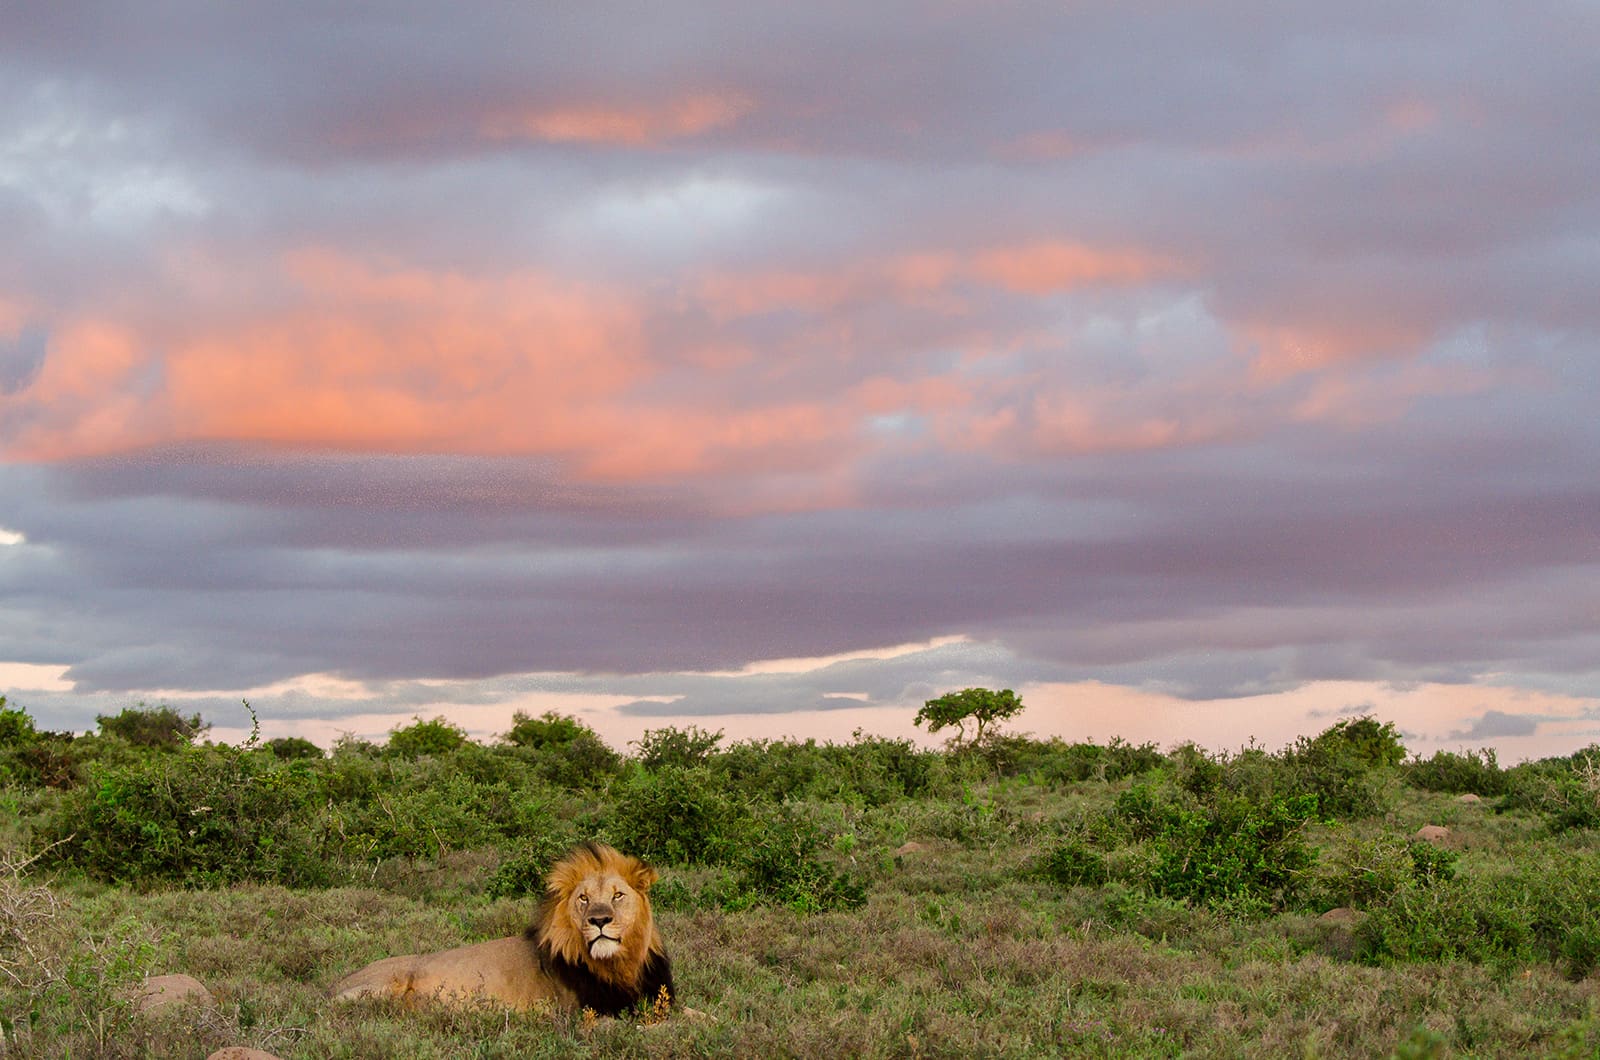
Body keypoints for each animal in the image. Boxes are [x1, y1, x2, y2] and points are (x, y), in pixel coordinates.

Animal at [330, 842, 675, 1017]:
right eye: (584, 898)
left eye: (618, 895)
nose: (599, 920)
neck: (621, 964)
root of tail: (330, 986)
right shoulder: (590, 1014)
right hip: (384, 985)